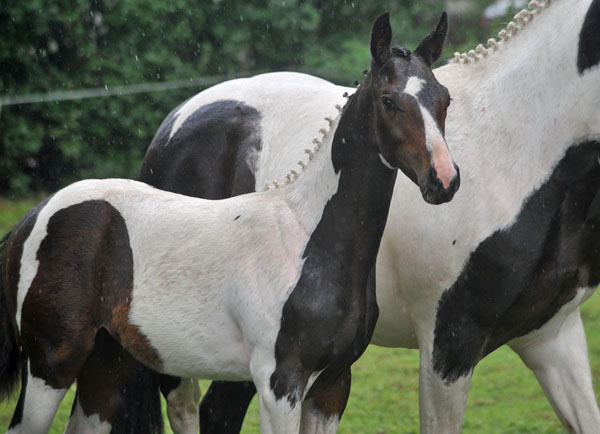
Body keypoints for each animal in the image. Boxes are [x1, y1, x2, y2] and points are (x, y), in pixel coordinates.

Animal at [0, 12, 460, 434]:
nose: (444, 180)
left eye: (445, 98)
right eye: (388, 100)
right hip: (51, 366)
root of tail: (32, 218)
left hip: (105, 368)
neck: (309, 239)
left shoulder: (332, 385)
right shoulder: (280, 383)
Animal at [98, 0, 600, 434]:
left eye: (447, 100)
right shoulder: (448, 345)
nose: (444, 181)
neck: (521, 148)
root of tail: (176, 119)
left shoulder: (553, 335)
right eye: (389, 102)